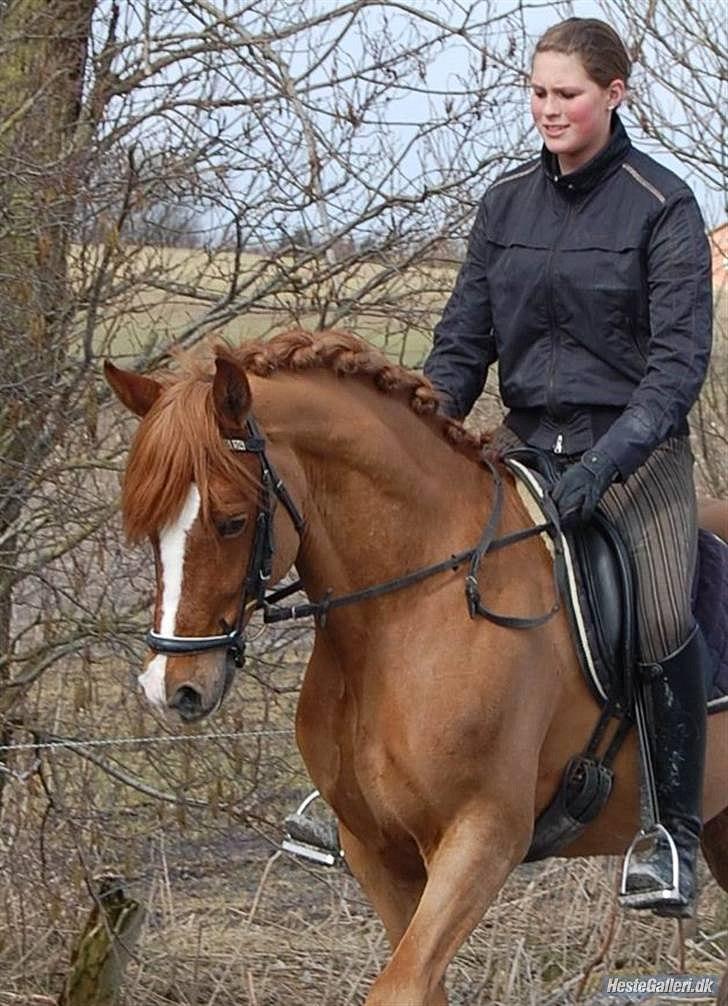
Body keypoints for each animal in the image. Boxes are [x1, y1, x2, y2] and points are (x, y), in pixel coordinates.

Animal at [105, 327, 728, 997]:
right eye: (150, 528)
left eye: (231, 521)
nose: (172, 687)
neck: (404, 615)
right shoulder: (378, 851)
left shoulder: (482, 837)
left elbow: (400, 986)